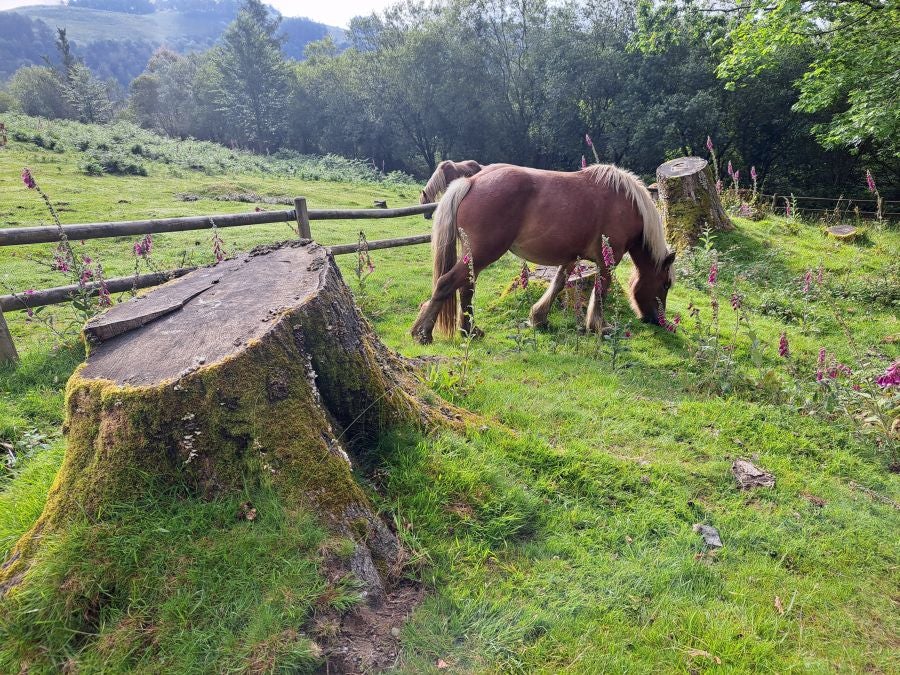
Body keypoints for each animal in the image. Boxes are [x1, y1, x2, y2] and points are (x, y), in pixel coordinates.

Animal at [410, 162, 676, 344]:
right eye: (665, 285)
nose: (657, 320)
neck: (627, 204)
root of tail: (471, 182)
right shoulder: (606, 260)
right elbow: (600, 291)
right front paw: (600, 326)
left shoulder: (571, 258)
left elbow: (558, 284)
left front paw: (539, 317)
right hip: (483, 253)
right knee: (446, 283)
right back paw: (423, 333)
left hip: (474, 256)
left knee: (465, 287)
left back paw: (469, 331)